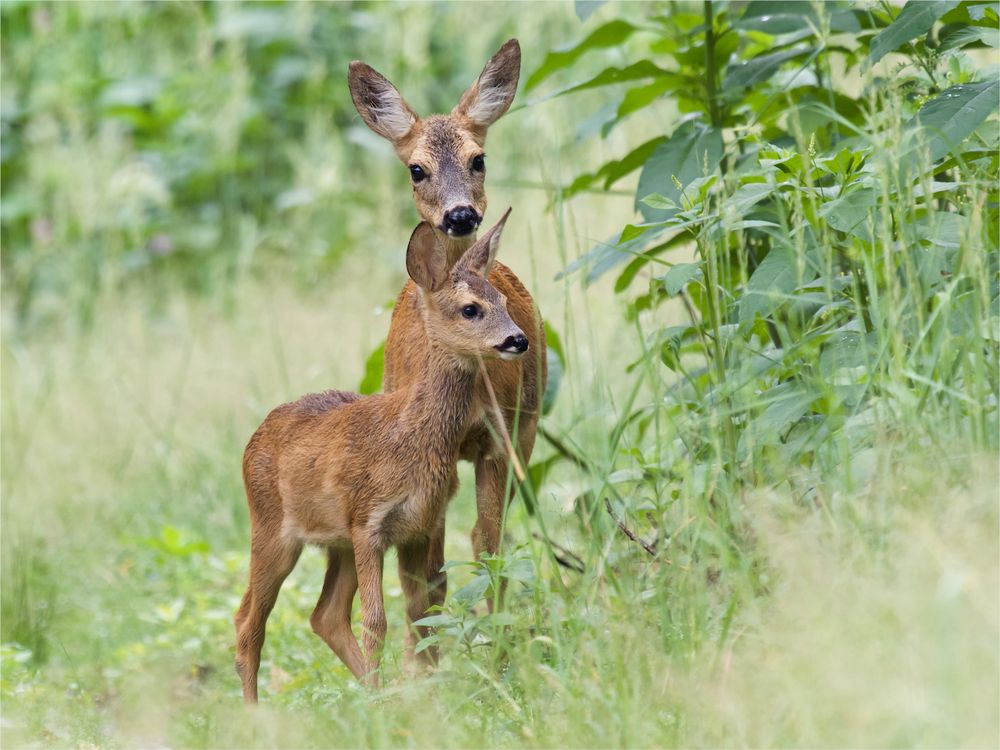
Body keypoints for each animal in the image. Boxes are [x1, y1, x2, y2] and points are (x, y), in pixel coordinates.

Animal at [238, 210, 528, 700]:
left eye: (504, 300)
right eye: (471, 308)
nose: (518, 340)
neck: (409, 440)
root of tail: (252, 440)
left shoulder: (416, 526)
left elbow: (424, 607)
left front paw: (408, 695)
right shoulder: (368, 523)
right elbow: (376, 621)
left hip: (335, 544)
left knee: (325, 615)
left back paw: (376, 694)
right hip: (272, 531)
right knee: (249, 623)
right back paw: (256, 710)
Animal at [350, 36, 548, 624]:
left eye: (478, 158)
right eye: (417, 169)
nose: (461, 215)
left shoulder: (497, 438)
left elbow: (487, 540)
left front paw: (499, 635)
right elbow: (424, 575)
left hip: (528, 425)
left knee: (489, 536)